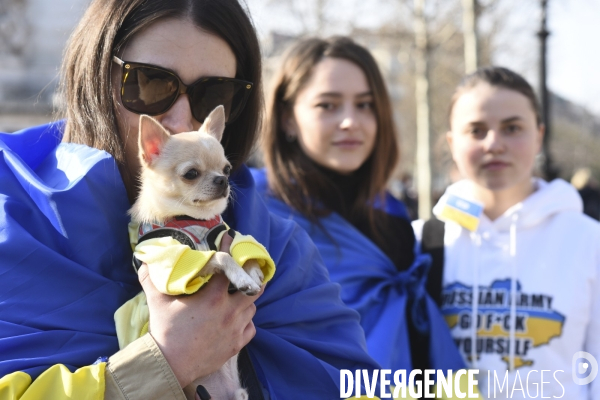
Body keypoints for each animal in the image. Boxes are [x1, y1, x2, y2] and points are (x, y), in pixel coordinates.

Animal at [130, 106, 264, 400]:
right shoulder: (177, 268)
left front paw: (253, 271)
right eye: (191, 173)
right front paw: (242, 278)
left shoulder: (228, 233)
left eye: (227, 169)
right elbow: (220, 256)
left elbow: (240, 247)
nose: (223, 179)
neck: (194, 220)